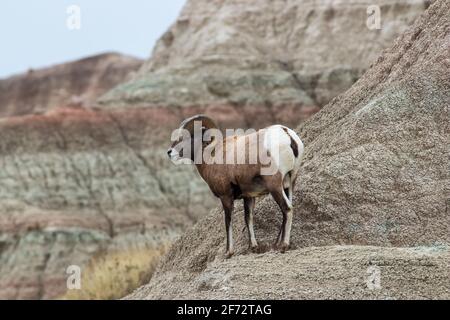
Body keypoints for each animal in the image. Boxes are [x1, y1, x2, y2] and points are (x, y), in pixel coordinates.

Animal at [167, 115, 304, 258]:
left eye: (188, 136)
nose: (169, 152)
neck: (212, 156)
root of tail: (287, 135)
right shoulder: (249, 196)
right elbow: (248, 218)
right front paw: (253, 247)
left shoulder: (226, 196)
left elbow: (228, 221)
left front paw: (229, 252)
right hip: (289, 183)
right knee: (288, 207)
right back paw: (277, 244)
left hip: (275, 186)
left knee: (287, 208)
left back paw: (283, 246)